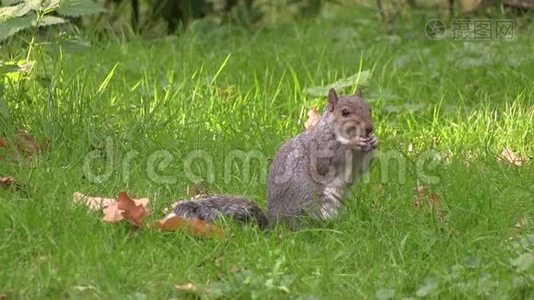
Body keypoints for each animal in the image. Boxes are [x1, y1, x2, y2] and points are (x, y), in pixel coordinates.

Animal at [165, 88, 378, 229]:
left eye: (369, 109)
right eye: (345, 112)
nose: (369, 128)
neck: (335, 131)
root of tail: (275, 225)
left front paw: (373, 142)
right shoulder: (320, 148)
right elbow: (326, 164)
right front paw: (353, 144)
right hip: (309, 202)